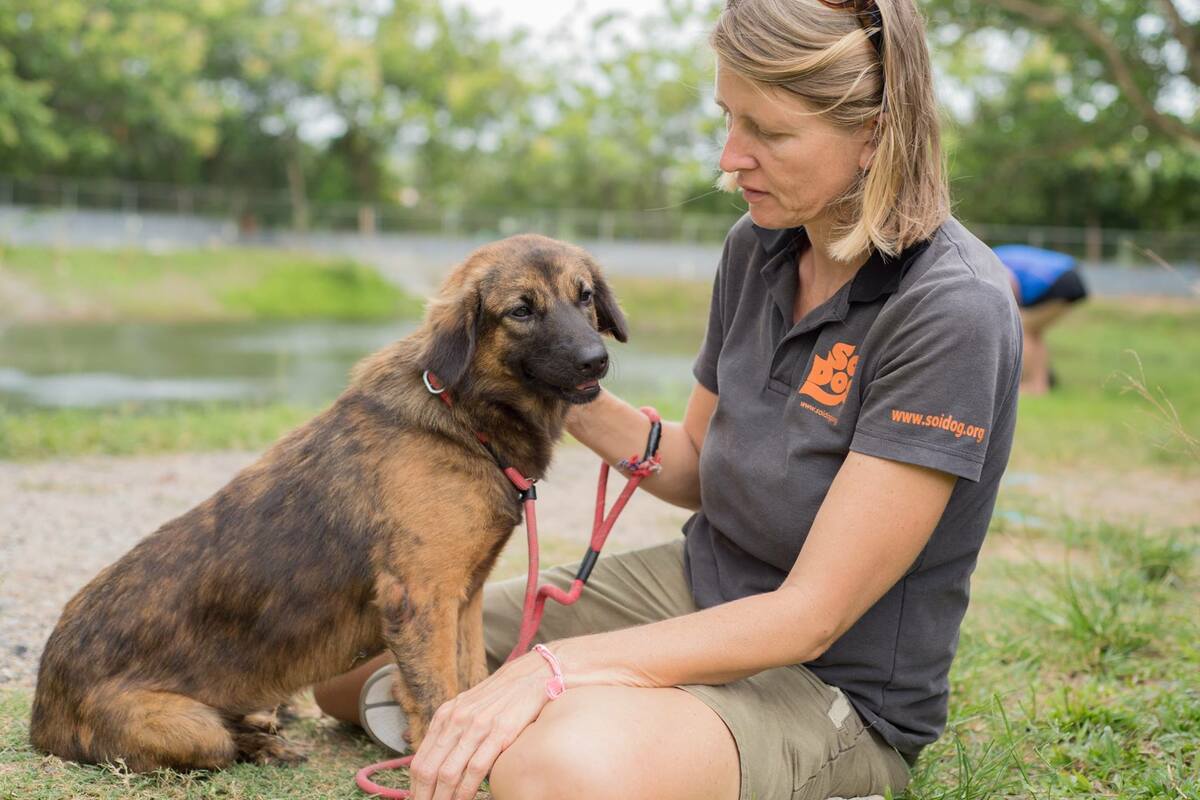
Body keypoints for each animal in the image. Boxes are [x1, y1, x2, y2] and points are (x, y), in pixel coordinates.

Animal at [30, 235, 628, 772]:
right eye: (521, 310)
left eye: (584, 296)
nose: (595, 361)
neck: (463, 416)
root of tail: (41, 713)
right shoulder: (422, 597)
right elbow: (440, 699)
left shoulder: (465, 597)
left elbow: (472, 681)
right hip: (190, 726)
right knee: (218, 740)